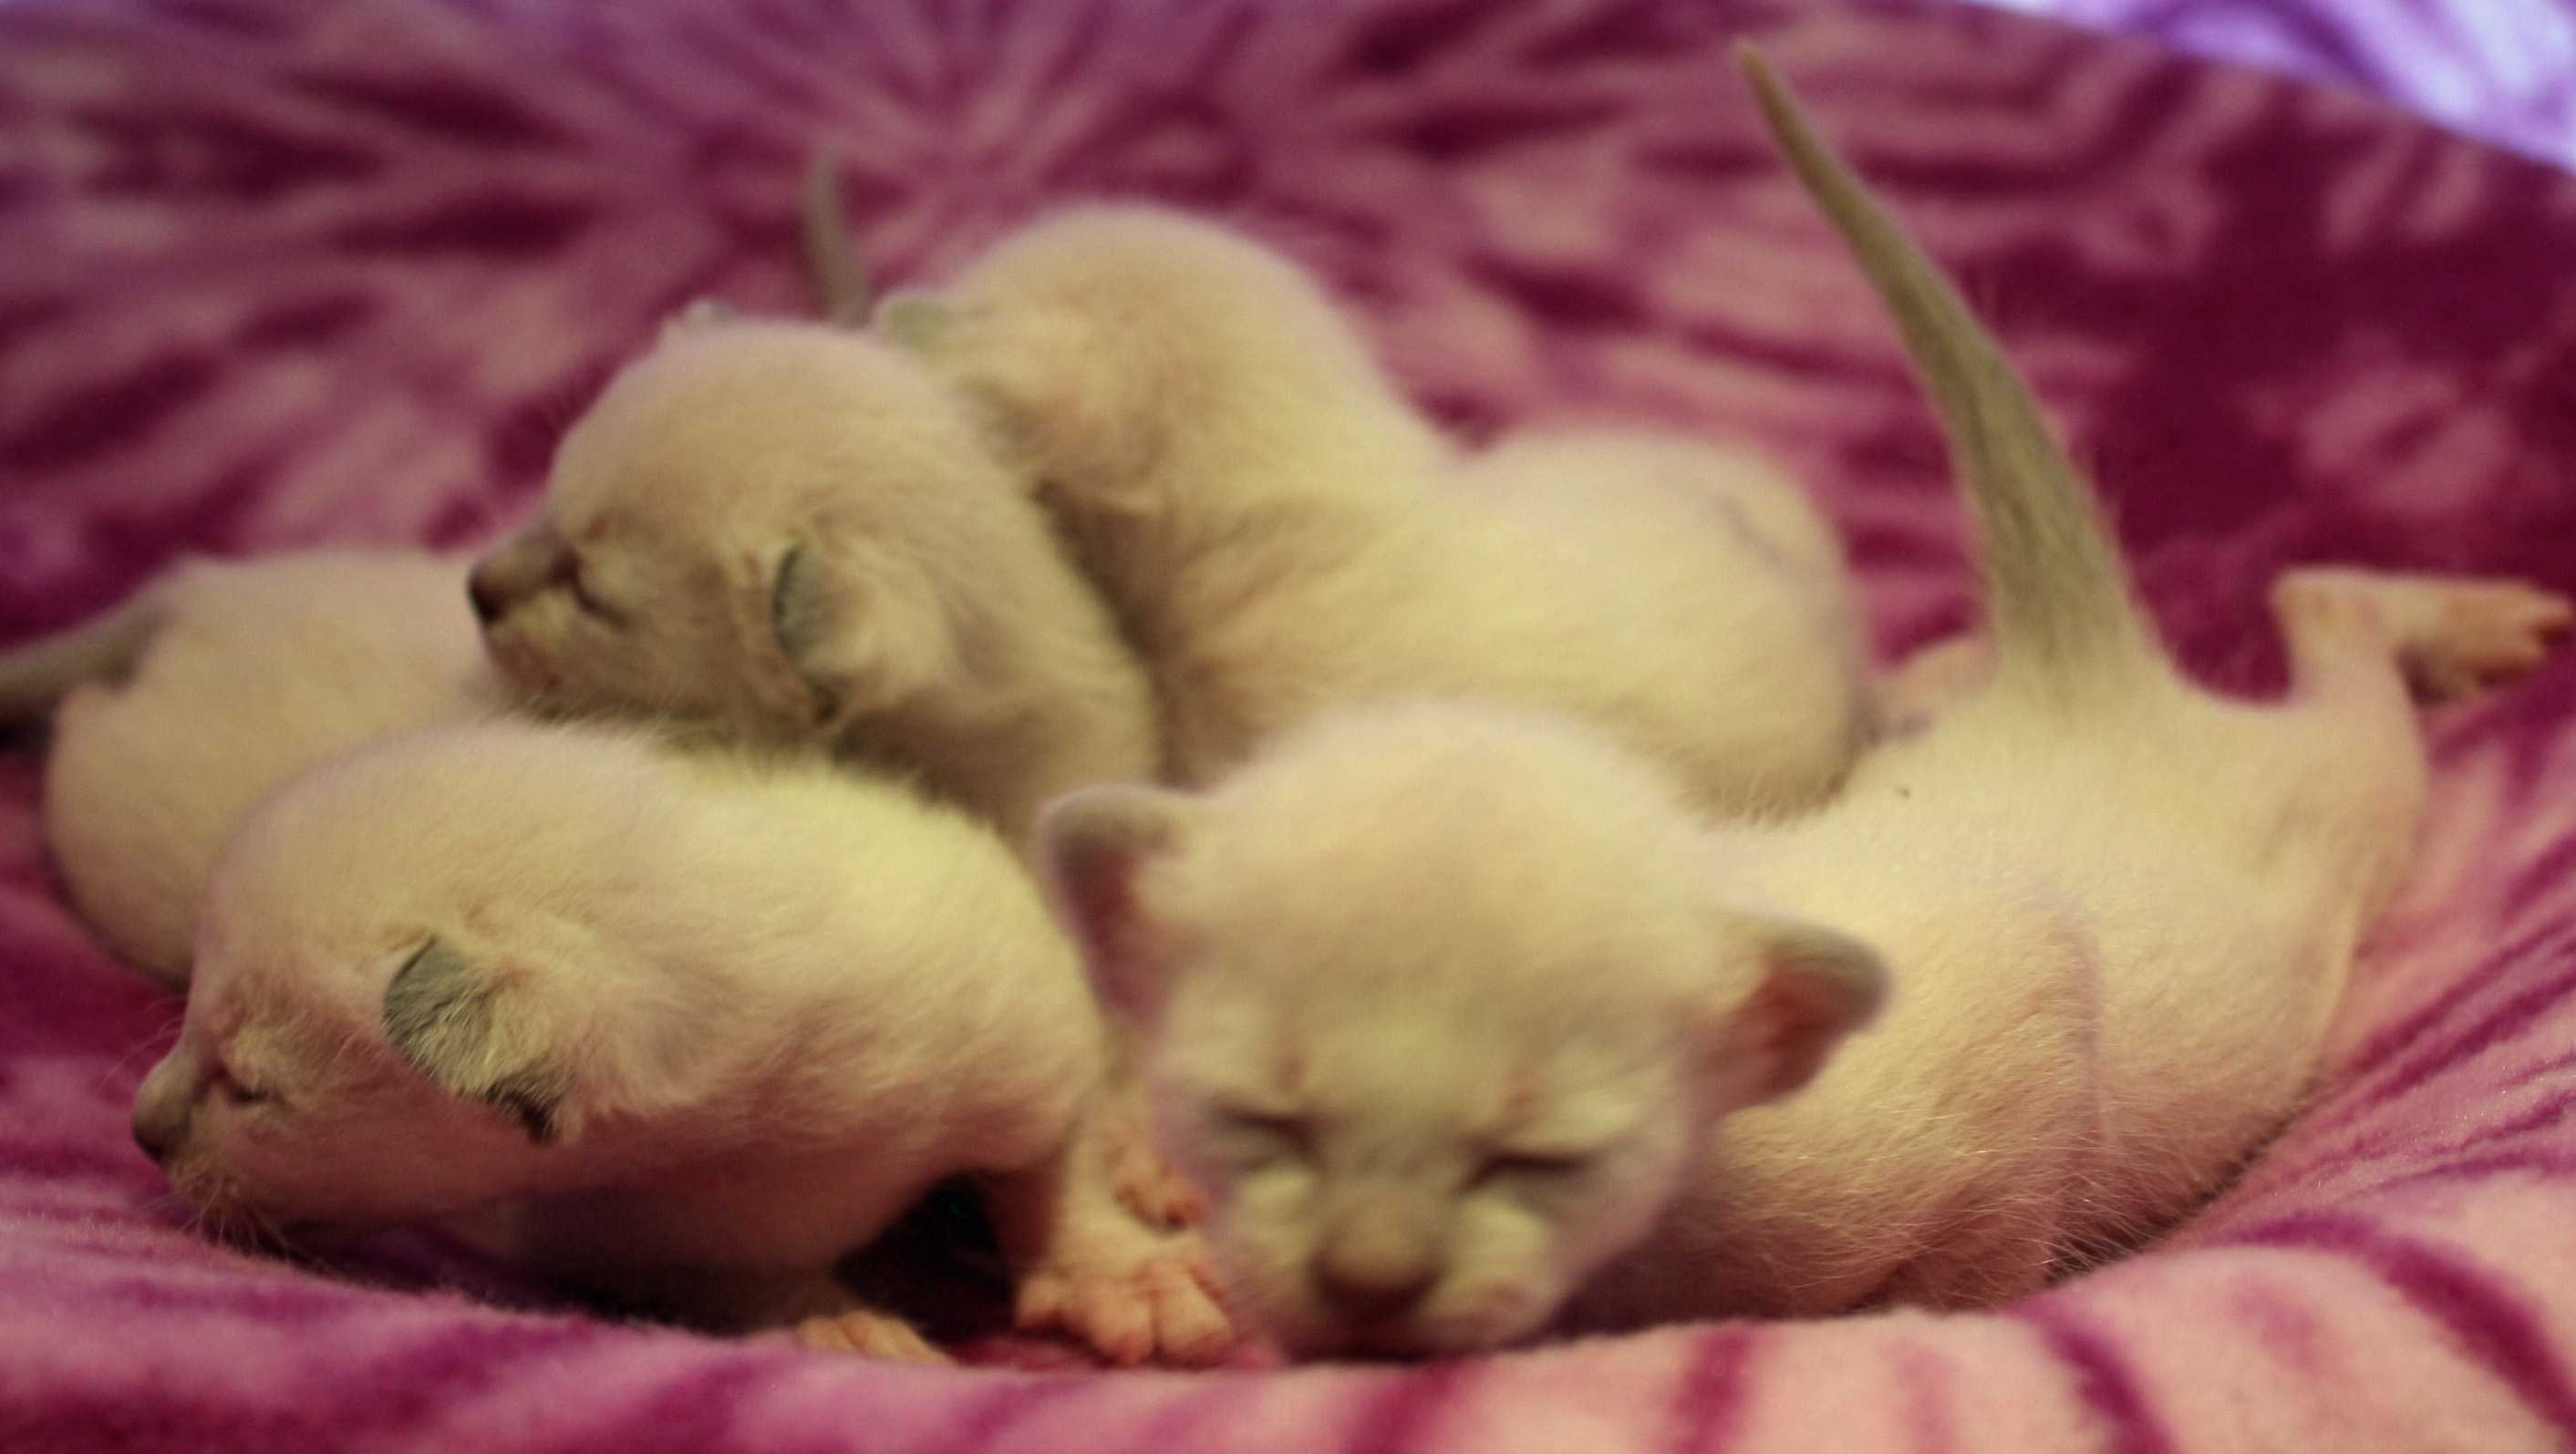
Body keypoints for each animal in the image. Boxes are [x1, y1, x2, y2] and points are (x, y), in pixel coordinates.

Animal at [129, 718, 1232, 1366]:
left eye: (250, 1089)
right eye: (198, 1027)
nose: (140, 1129)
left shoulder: (1003, 998)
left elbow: (1048, 1161)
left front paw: (1118, 1268)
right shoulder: (612, 1226)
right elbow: (721, 1277)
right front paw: (826, 1319)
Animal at [1022, 49, 2573, 1359]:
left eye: (1544, 1153)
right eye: (1256, 1116)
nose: (1366, 1279)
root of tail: (2081, 682)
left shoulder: (1988, 1025)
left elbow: (2001, 1192)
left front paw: (1927, 1309)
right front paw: (1143, 1251)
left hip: (2343, 804)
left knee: (2327, 628)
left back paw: (2444, 624)